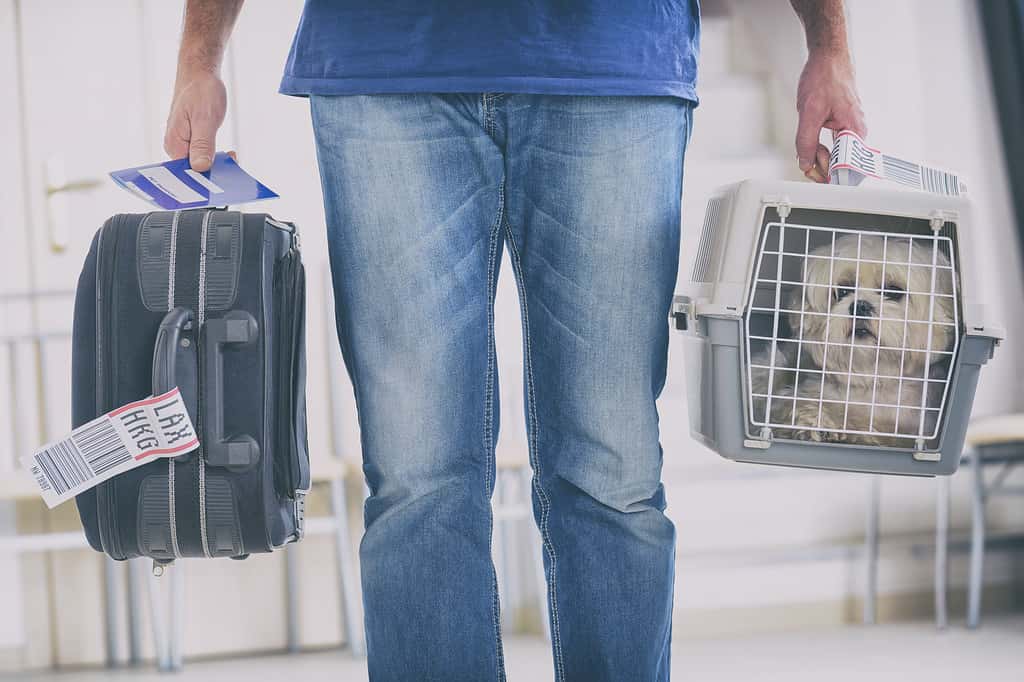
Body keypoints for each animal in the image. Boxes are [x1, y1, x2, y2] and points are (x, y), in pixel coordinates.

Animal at [749, 233, 954, 446]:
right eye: (843, 291)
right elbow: (798, 405)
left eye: (893, 291)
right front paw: (817, 423)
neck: (871, 377)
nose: (860, 306)